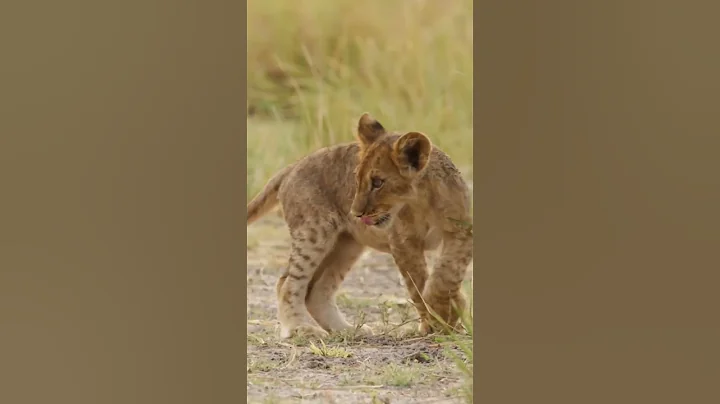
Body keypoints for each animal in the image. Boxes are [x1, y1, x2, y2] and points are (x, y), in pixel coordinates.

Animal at [247, 113, 473, 339]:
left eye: (378, 182)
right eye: (357, 180)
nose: (355, 213)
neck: (422, 203)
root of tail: (292, 166)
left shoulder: (461, 231)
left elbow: (447, 274)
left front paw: (450, 311)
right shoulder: (402, 242)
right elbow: (418, 283)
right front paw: (438, 320)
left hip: (347, 244)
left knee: (317, 290)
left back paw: (345, 329)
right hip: (315, 232)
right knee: (286, 283)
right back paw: (301, 328)